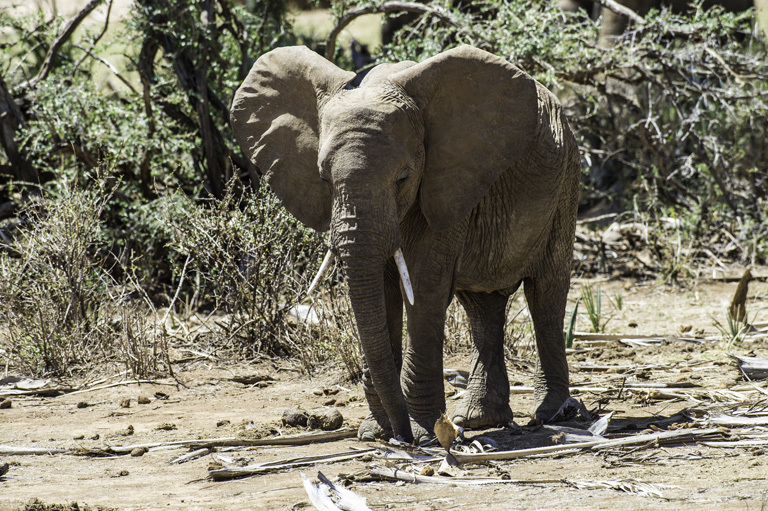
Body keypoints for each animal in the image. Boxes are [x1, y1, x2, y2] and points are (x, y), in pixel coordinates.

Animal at [231, 45, 580, 444]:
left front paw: (422, 431)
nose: (402, 438)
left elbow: (425, 288)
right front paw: (378, 431)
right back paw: (478, 419)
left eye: (403, 177)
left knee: (546, 293)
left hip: (565, 183)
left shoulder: (445, 180)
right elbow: (382, 292)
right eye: (323, 178)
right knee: (482, 307)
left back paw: (550, 414)